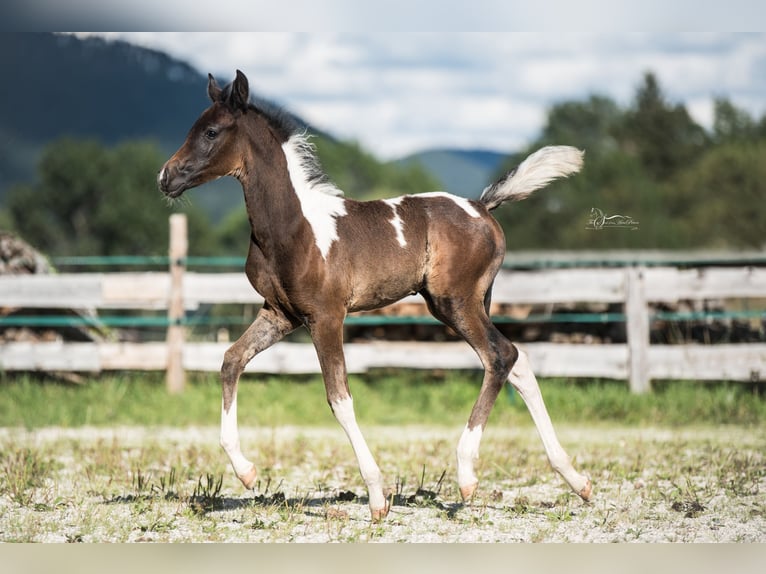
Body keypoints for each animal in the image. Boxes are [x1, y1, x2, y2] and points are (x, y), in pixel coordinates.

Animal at [159, 70, 592, 520]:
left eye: (211, 132)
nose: (165, 178)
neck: (292, 226)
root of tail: (481, 206)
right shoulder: (280, 314)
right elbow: (231, 361)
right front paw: (246, 472)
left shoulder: (326, 317)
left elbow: (339, 398)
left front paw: (377, 496)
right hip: (470, 303)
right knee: (517, 364)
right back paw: (575, 479)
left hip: (454, 302)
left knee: (501, 356)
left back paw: (467, 475)